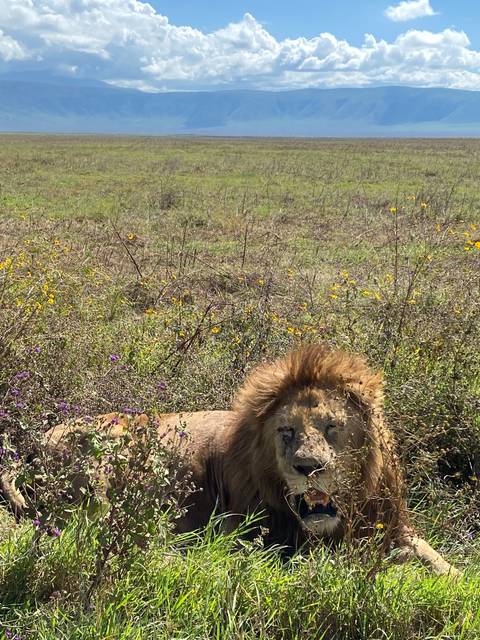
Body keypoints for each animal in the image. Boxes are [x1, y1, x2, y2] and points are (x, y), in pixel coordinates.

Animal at [1, 343, 457, 575]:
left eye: (332, 427)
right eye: (286, 431)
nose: (308, 468)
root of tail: (38, 443)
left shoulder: (389, 523)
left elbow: (435, 556)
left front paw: (454, 578)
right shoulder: (265, 537)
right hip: (102, 473)